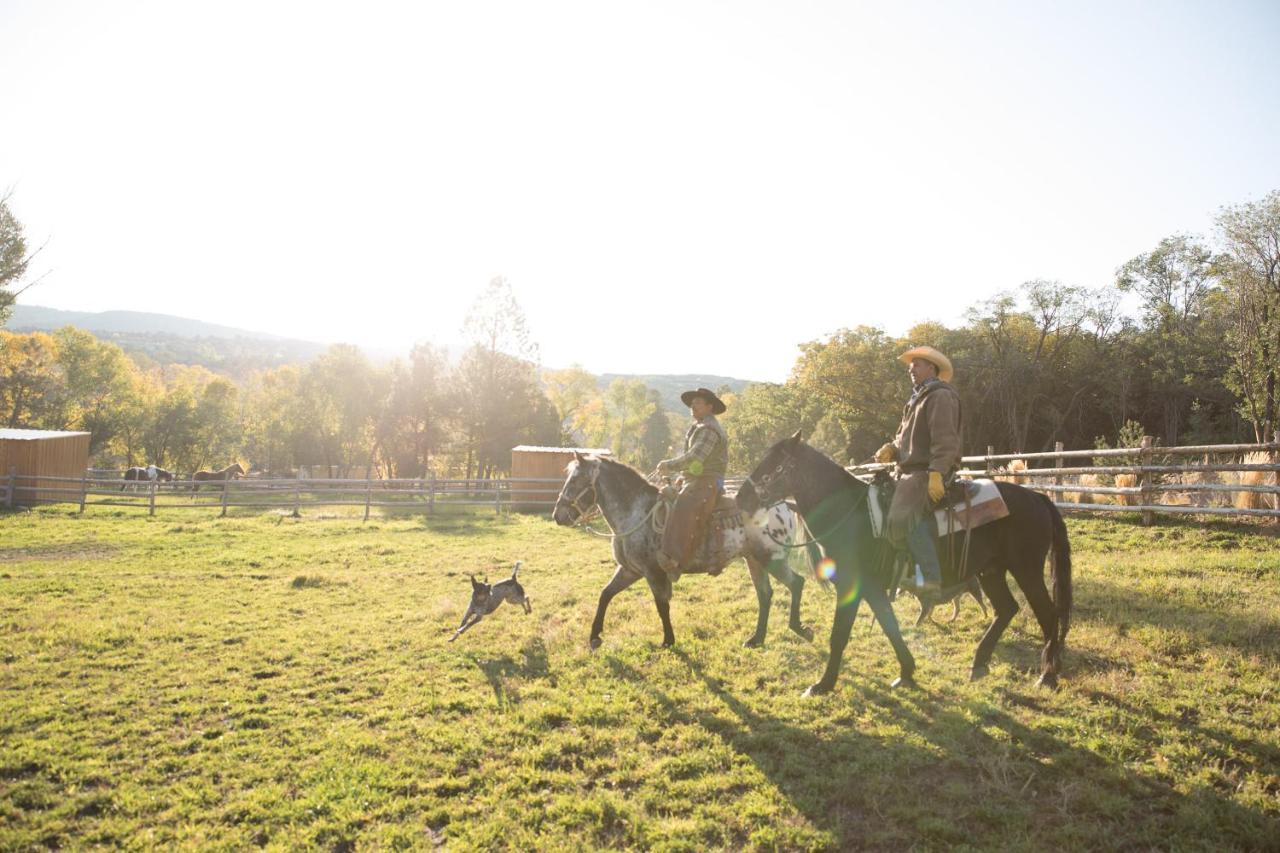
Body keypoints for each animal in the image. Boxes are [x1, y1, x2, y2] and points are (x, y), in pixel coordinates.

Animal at [550, 450, 819, 650]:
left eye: (575, 480)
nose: (558, 515)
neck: (635, 510)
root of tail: (784, 504)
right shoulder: (630, 570)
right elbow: (605, 594)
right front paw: (595, 636)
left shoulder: (653, 572)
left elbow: (661, 606)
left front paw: (668, 641)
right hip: (754, 560)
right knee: (765, 594)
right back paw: (756, 638)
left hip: (771, 558)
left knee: (796, 583)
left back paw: (799, 628)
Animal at [737, 432, 1075, 691]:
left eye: (774, 465)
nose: (742, 497)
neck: (852, 514)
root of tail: (1038, 498)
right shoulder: (872, 588)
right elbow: (890, 626)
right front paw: (907, 673)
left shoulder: (851, 586)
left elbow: (840, 635)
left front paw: (823, 684)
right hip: (991, 571)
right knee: (1007, 609)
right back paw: (979, 663)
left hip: (1026, 570)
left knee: (1048, 615)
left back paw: (1047, 676)